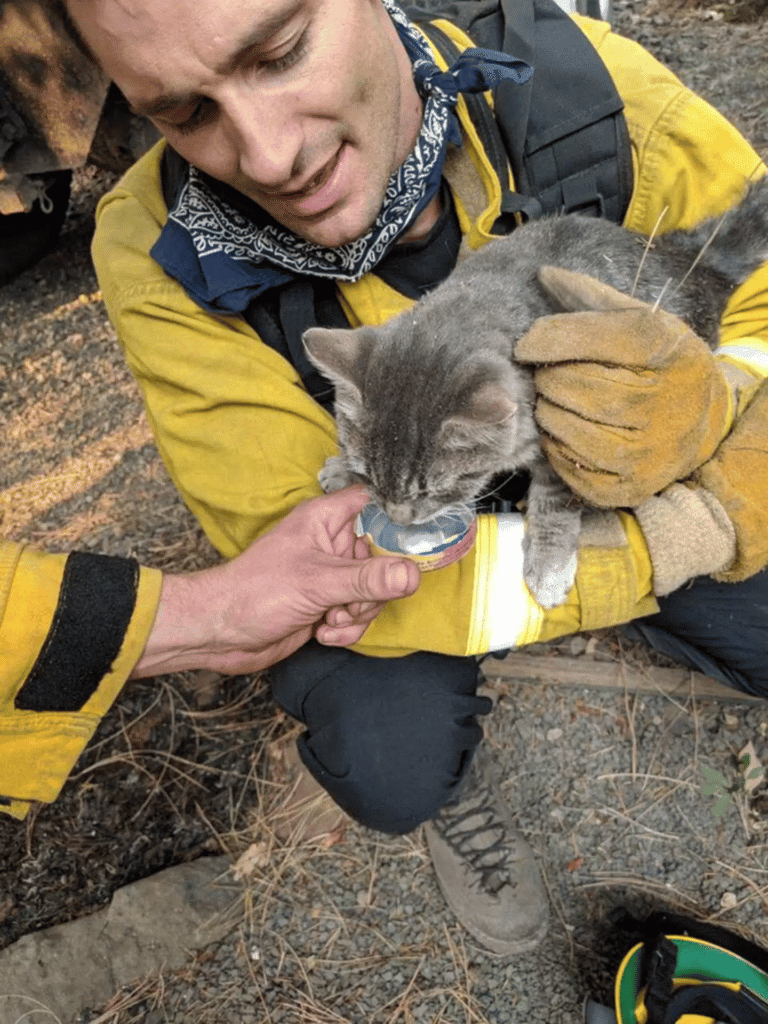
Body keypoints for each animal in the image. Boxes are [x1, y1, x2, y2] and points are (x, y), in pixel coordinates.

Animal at [303, 177, 768, 606]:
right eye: (369, 475)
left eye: (433, 491)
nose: (398, 516)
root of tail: (689, 258)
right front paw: (342, 470)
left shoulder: (566, 440)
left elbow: (554, 503)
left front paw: (548, 564)